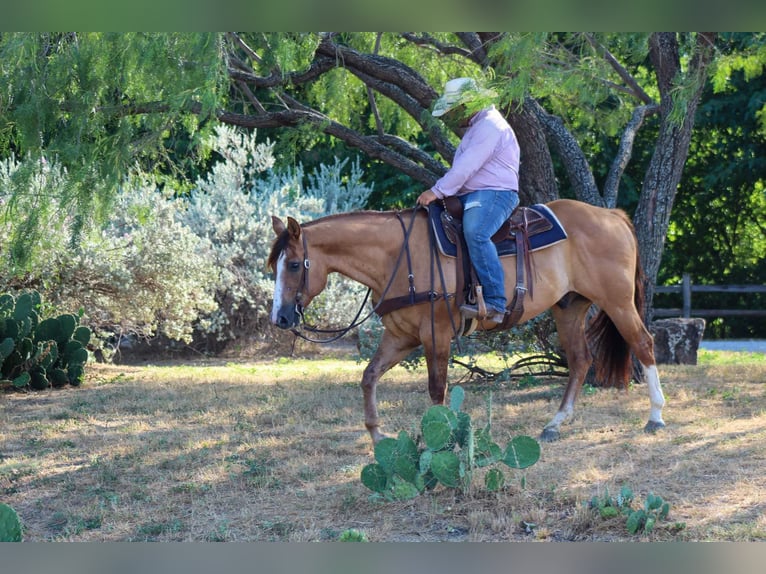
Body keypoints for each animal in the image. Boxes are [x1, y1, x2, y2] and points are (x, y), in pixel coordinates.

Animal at [268, 199, 666, 445]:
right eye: (274, 266)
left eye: (294, 264)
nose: (280, 318)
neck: (399, 256)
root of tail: (611, 215)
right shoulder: (400, 337)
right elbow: (369, 377)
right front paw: (378, 435)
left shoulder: (436, 334)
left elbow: (437, 389)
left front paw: (440, 440)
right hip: (568, 308)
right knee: (581, 359)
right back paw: (554, 424)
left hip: (617, 302)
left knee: (643, 344)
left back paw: (656, 417)